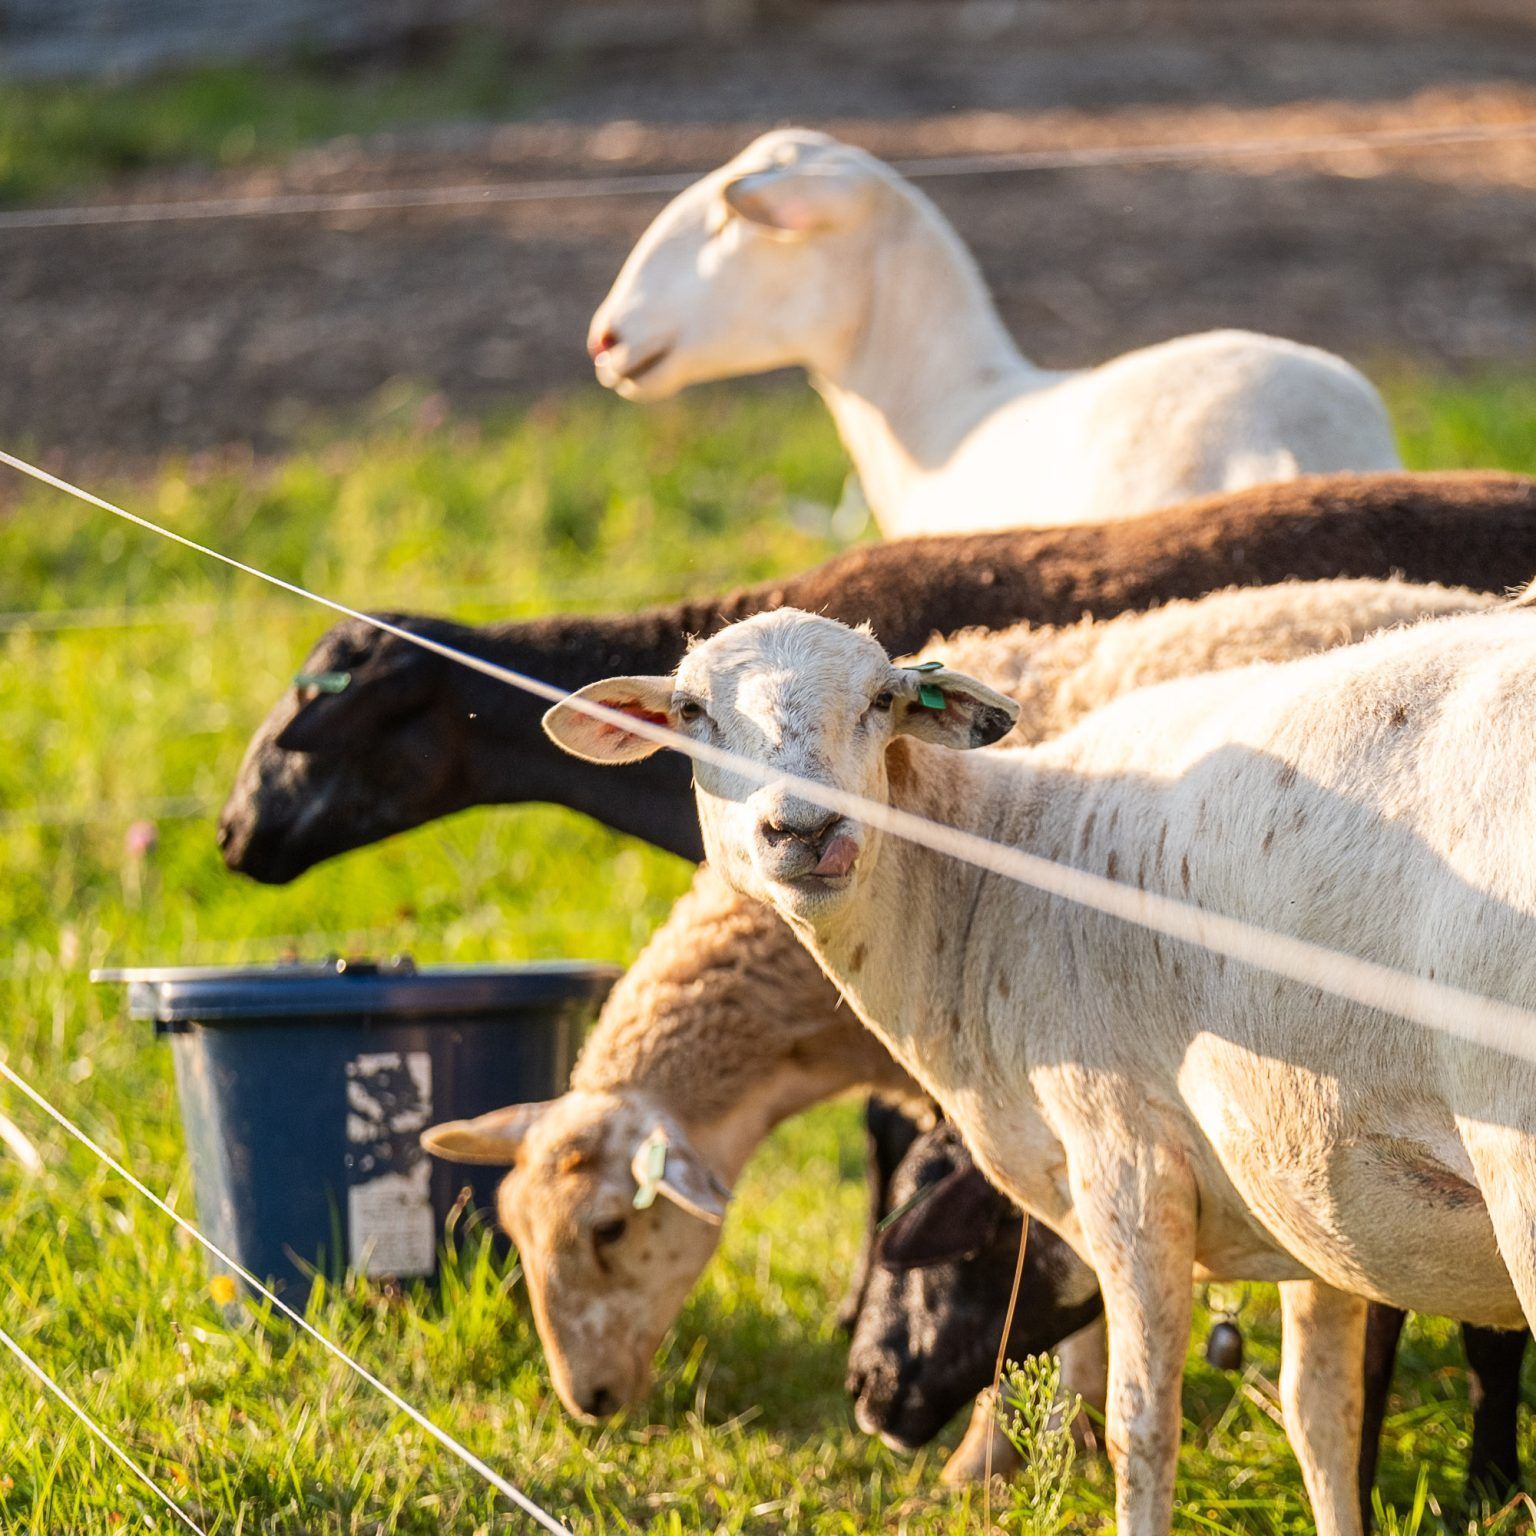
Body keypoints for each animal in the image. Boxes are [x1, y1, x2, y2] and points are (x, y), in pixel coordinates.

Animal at [543, 602, 1536, 1536]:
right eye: (690, 712)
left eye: (880, 702)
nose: (808, 832)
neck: (988, 881)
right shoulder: (1309, 1195)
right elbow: (1323, 1422)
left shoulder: (1127, 1164)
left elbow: (1141, 1424)